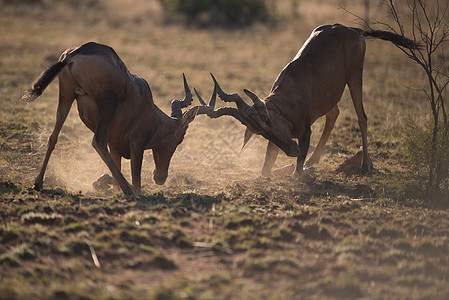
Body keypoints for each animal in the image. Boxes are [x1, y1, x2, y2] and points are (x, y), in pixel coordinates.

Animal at [22, 42, 198, 197]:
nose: (160, 178)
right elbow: (136, 182)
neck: (146, 102)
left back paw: (38, 183)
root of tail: (78, 51)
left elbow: (113, 171)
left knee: (53, 137)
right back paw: (127, 189)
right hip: (107, 105)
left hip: (66, 95)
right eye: (180, 139)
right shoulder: (136, 145)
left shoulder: (114, 147)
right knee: (98, 142)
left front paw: (99, 183)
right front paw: (127, 188)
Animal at [195, 25, 416, 178]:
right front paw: (295, 165)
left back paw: (365, 167)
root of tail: (353, 30)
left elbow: (297, 173)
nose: (292, 150)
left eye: (266, 120)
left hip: (355, 76)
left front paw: (300, 168)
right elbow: (265, 171)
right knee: (334, 113)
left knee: (362, 117)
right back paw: (313, 160)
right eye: (259, 131)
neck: (288, 96)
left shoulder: (306, 131)